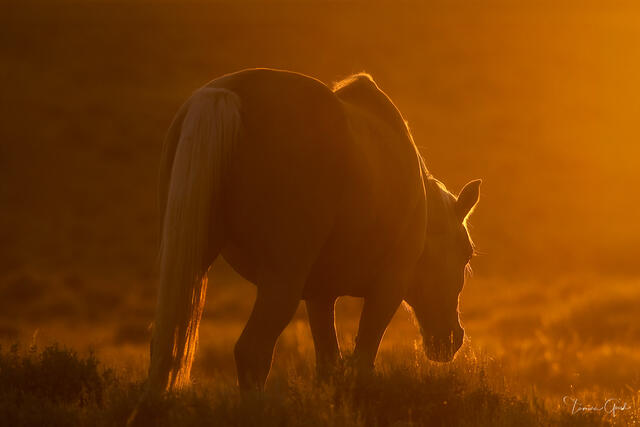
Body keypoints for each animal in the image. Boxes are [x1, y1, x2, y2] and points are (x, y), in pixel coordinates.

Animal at [147, 68, 481, 392]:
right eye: (466, 254)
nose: (451, 339)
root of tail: (226, 95)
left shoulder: (320, 295)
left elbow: (328, 365)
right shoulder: (388, 288)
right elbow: (362, 360)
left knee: (164, 346)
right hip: (282, 279)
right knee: (251, 351)